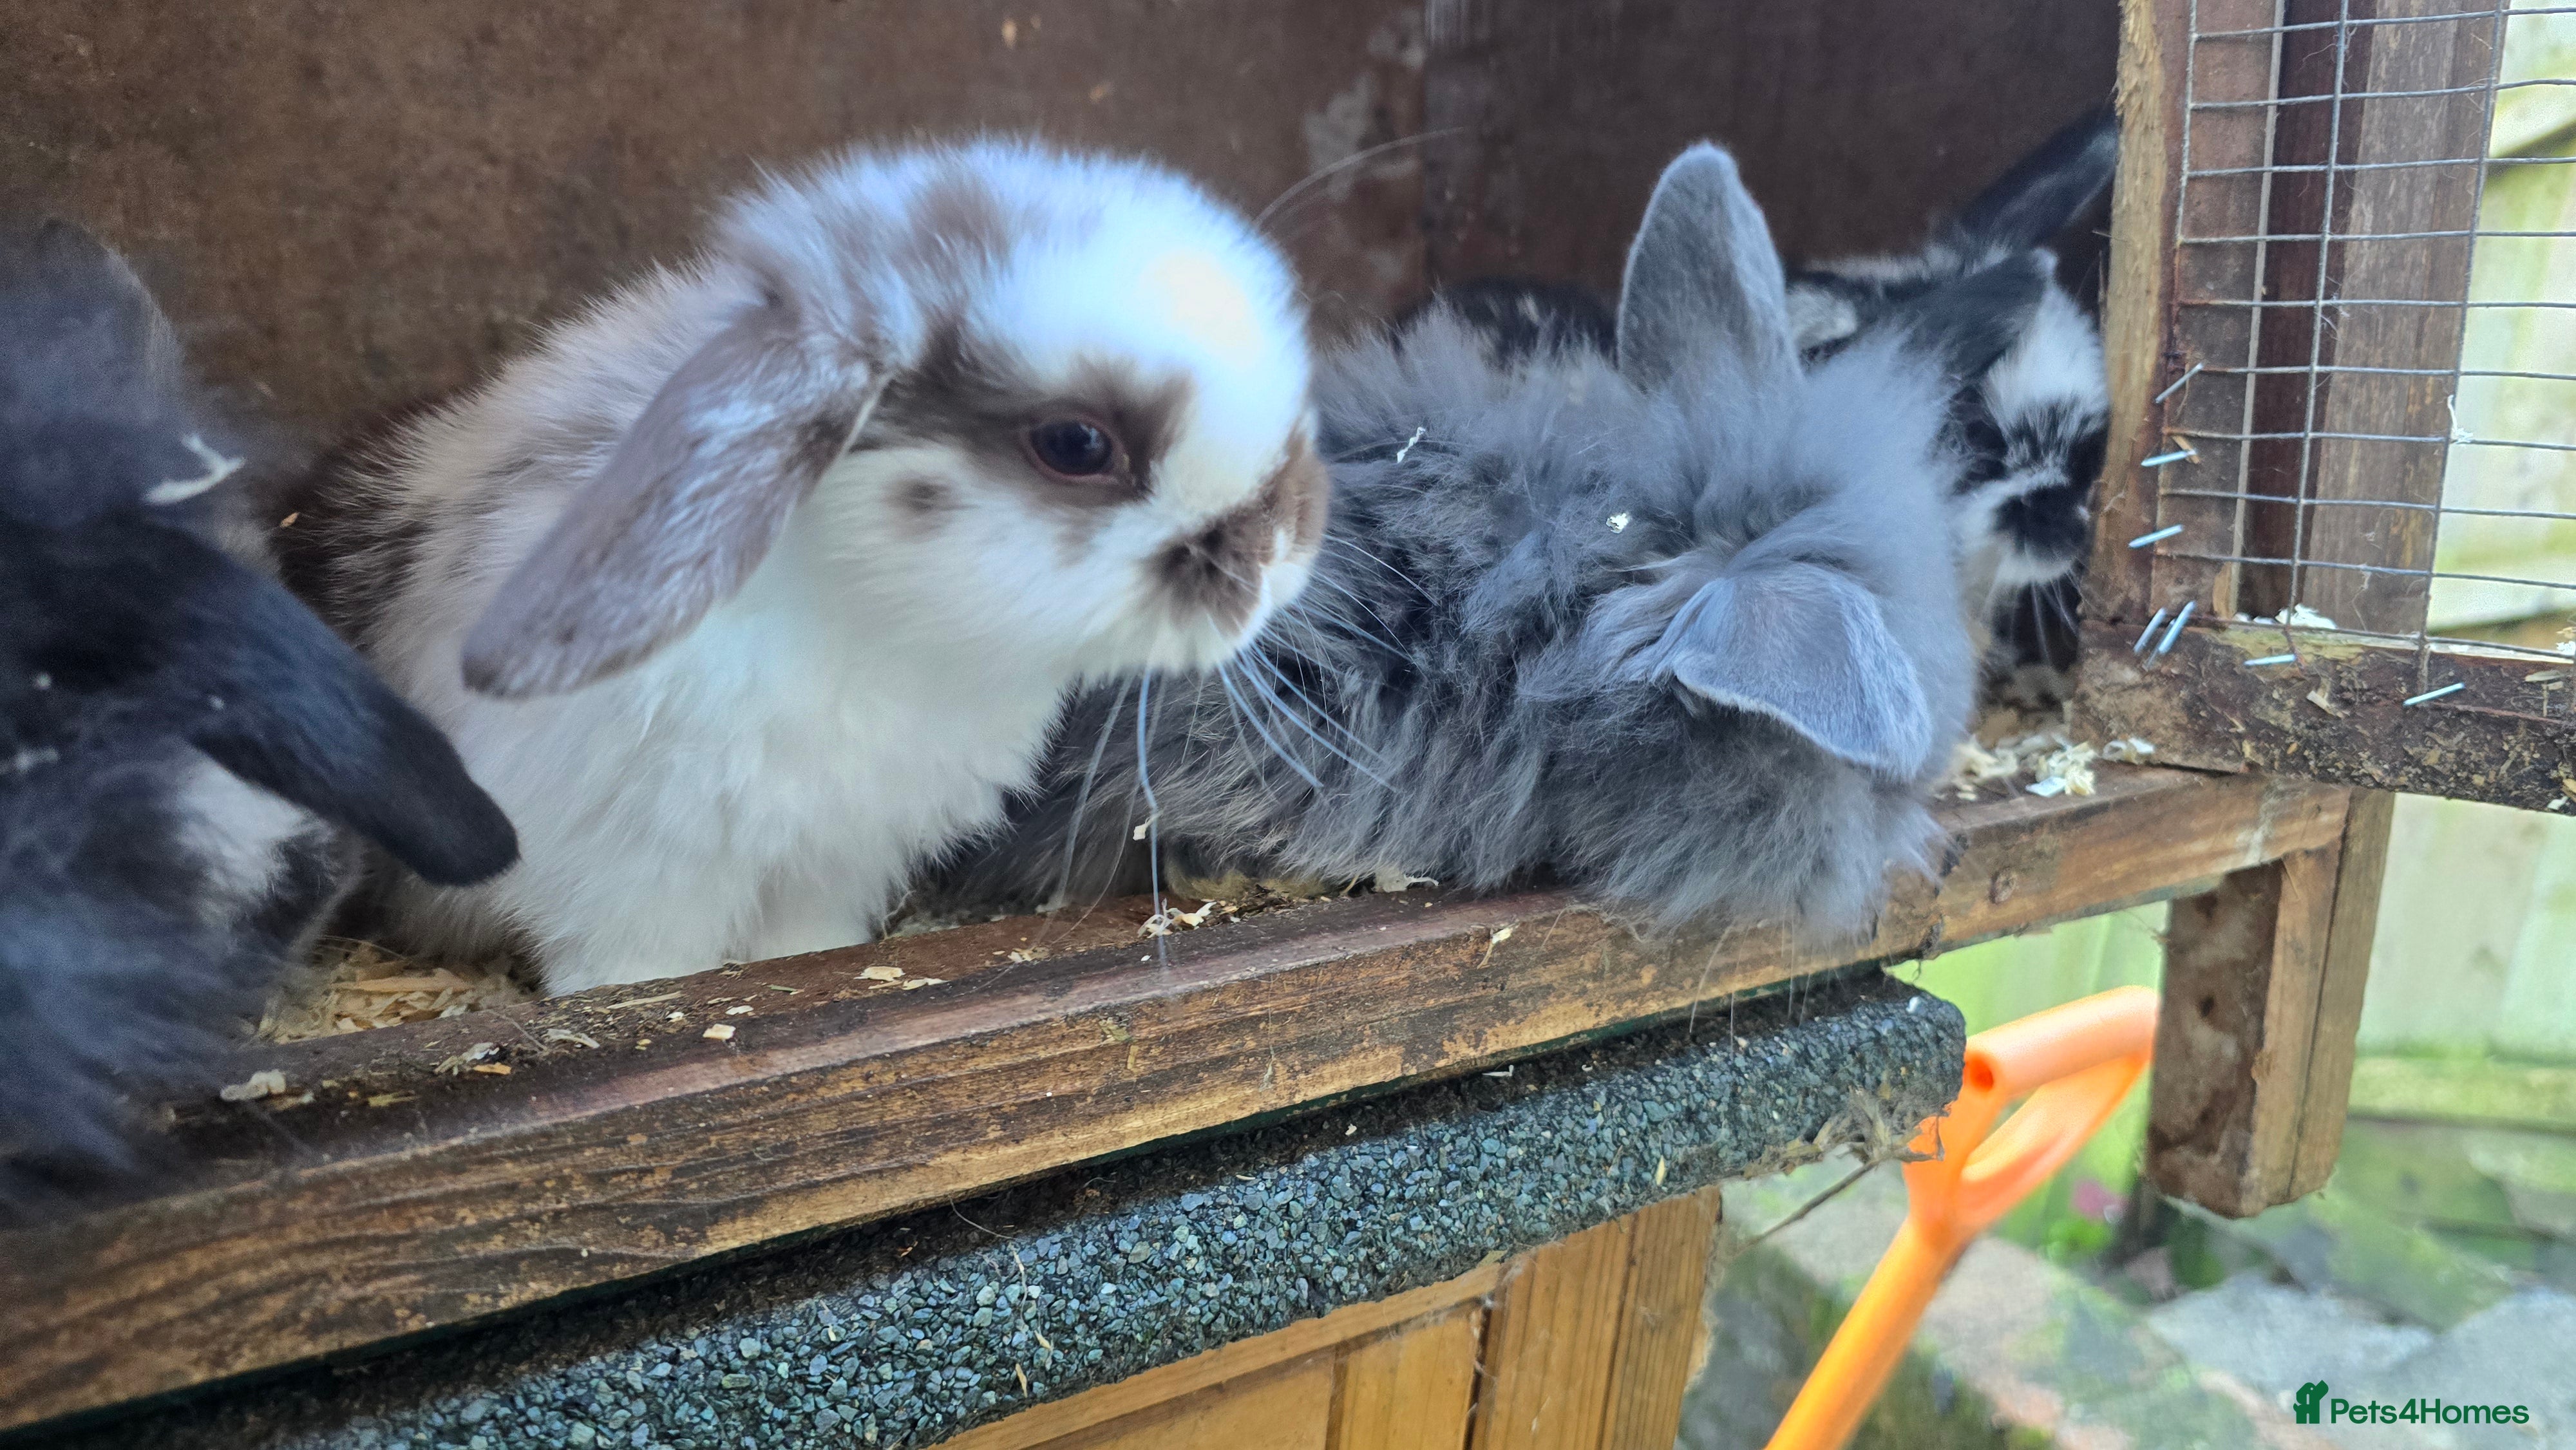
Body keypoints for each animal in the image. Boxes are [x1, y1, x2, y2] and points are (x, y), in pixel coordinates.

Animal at [283, 140, 1328, 992]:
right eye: (1077, 444)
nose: (1284, 538)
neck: (875, 623)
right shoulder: (624, 860)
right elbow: (637, 960)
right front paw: (634, 996)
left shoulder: (837, 851)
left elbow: (804, 938)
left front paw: (810, 964)